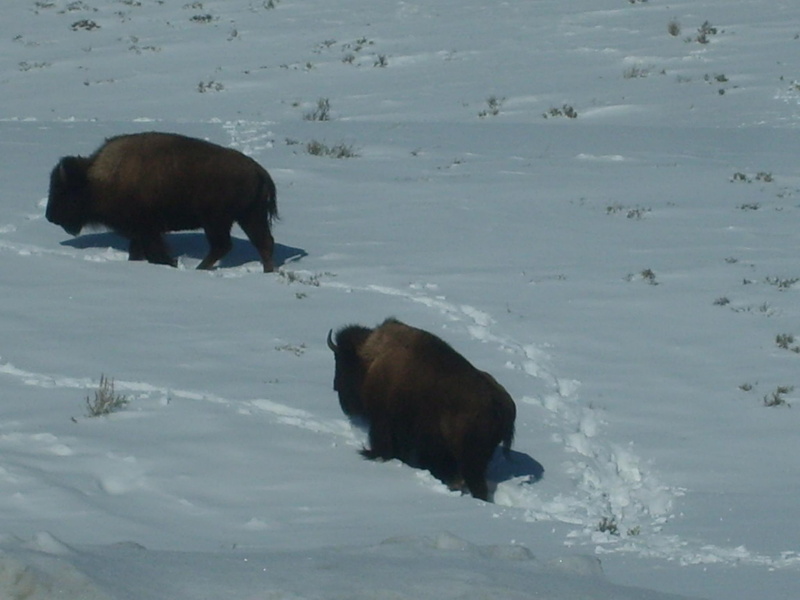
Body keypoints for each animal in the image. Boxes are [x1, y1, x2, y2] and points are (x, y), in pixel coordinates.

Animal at [46, 132, 278, 272]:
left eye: (62, 190)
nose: (50, 216)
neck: (95, 178)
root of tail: (257, 170)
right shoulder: (140, 232)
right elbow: (137, 251)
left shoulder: (148, 230)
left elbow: (155, 252)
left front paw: (170, 263)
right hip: (249, 216)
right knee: (263, 243)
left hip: (217, 221)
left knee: (223, 245)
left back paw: (200, 269)